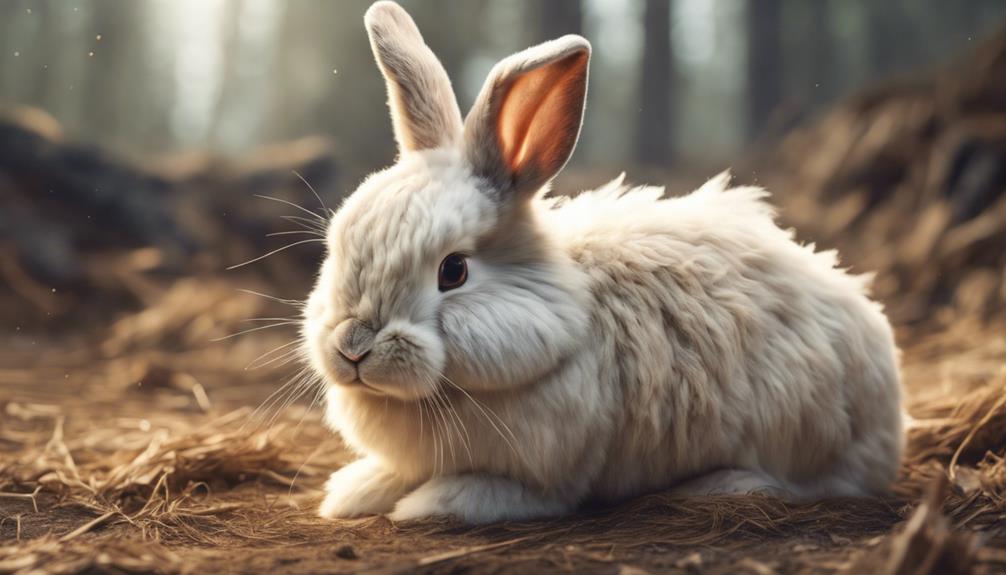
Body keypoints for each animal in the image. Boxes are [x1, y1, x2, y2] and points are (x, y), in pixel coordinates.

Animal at [302, 1, 904, 525]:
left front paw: (432, 505)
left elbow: (508, 494)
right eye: (337, 247)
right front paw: (355, 491)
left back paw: (723, 483)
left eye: (453, 271)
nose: (353, 346)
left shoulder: (552, 470)